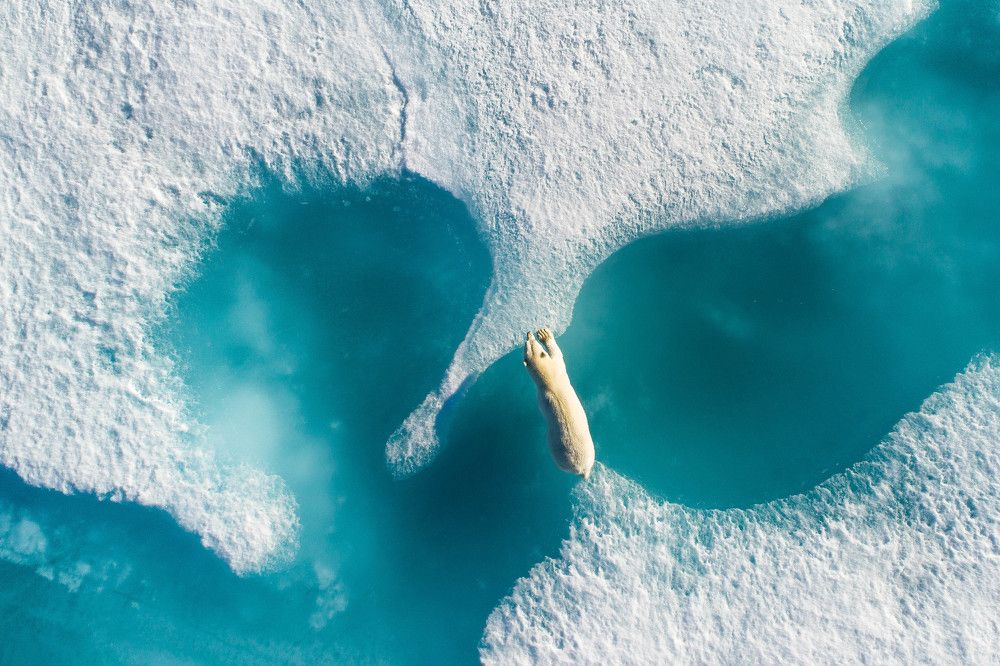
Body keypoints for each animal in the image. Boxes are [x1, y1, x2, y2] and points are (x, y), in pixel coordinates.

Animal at [523, 327, 596, 479]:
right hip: (558, 452)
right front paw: (545, 335)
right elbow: (557, 354)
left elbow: (558, 355)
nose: (528, 334)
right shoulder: (556, 372)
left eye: (530, 343)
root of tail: (582, 469)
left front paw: (543, 334)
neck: (550, 382)